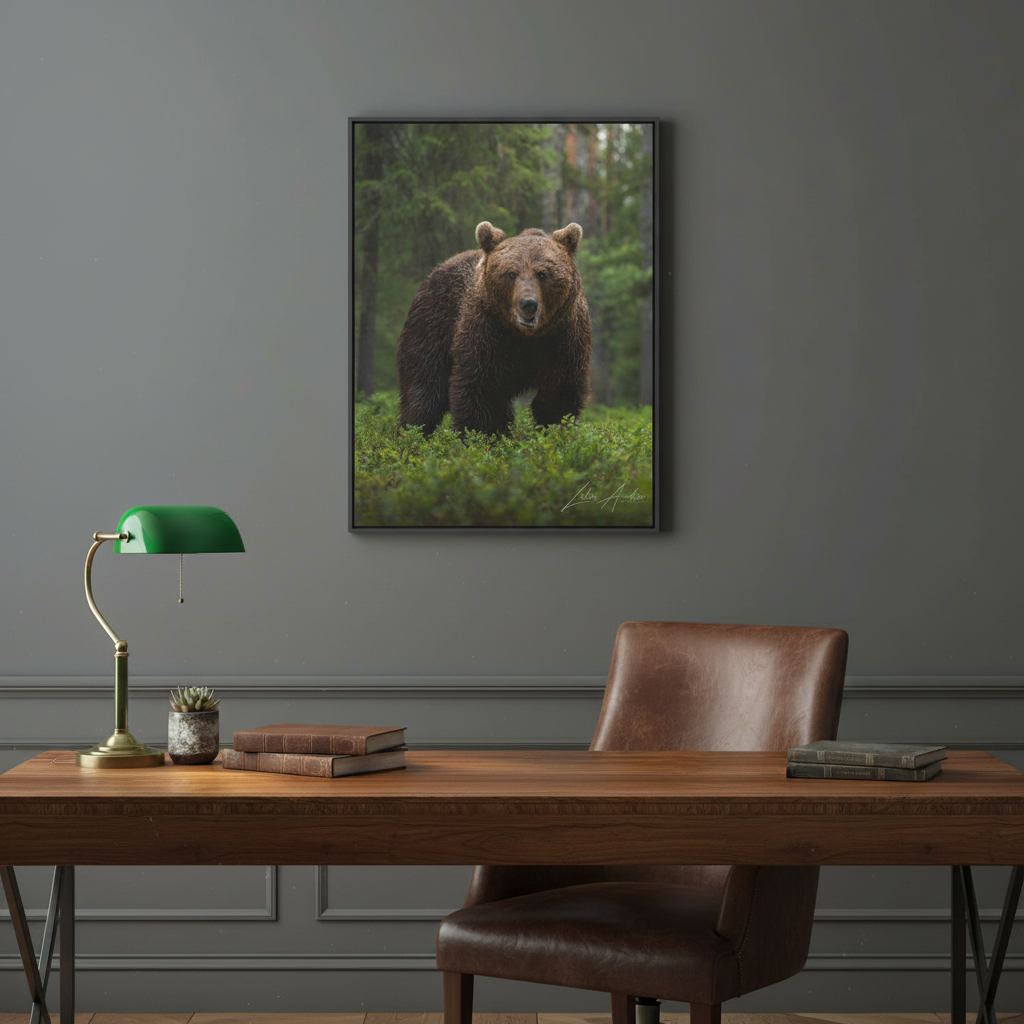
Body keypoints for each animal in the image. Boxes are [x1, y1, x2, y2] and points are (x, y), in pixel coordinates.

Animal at [397, 220, 592, 437]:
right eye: (511, 273)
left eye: (542, 273)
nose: (528, 304)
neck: (526, 336)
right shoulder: (487, 333)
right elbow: (482, 392)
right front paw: (483, 435)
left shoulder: (564, 338)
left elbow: (558, 396)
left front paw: (554, 429)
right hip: (431, 325)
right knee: (424, 391)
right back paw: (411, 432)